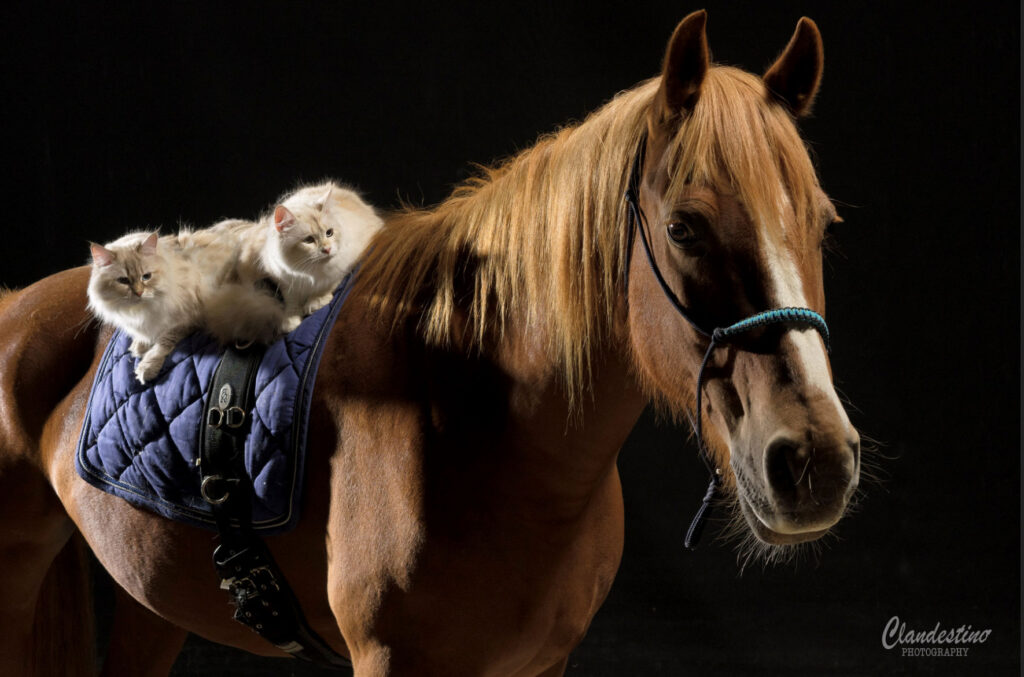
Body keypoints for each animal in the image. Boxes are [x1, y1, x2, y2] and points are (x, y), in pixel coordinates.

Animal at [0, 11, 859, 676]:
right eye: (683, 227)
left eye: (823, 223)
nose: (814, 459)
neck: (477, 420)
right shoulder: (393, 660)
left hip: (151, 598)